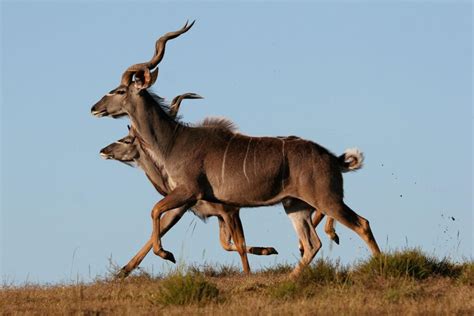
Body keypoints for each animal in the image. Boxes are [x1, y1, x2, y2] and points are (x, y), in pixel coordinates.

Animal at [92, 21, 382, 276]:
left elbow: (154, 211)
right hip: (295, 206)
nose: (94, 108)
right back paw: (289, 279)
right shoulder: (202, 203)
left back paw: (383, 265)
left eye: (118, 90)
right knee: (312, 244)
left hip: (326, 199)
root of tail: (333, 159)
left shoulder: (191, 193)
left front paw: (167, 254)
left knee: (361, 224)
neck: (173, 140)